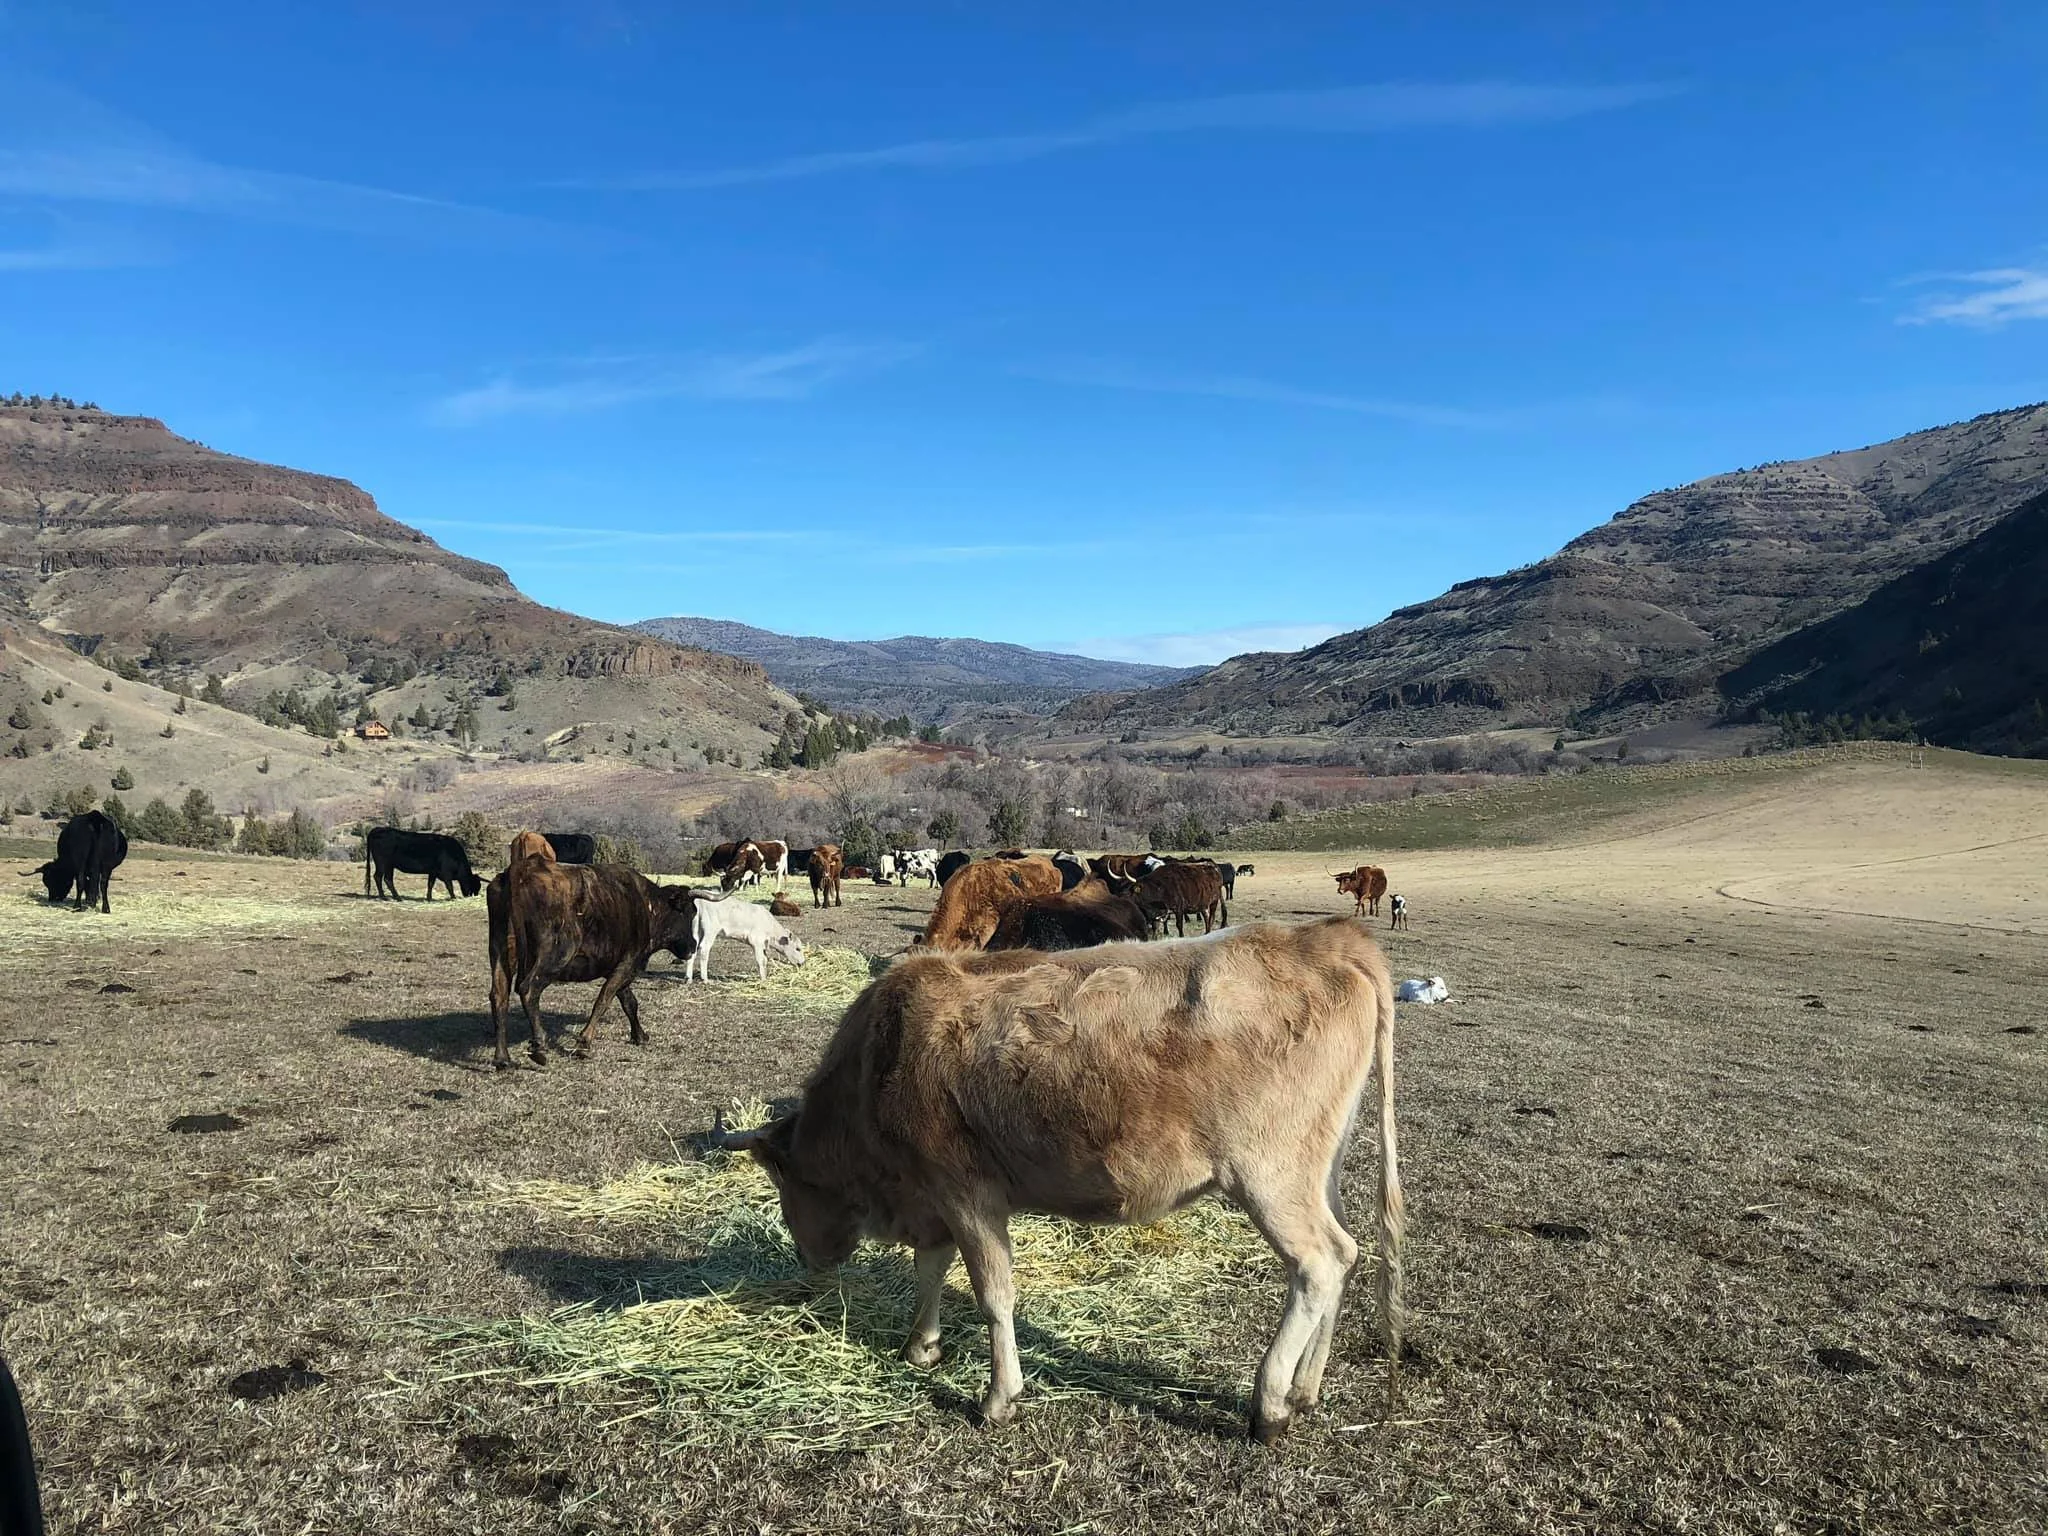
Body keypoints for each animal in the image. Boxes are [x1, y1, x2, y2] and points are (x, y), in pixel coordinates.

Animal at [487, 858, 697, 1069]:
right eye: (690, 913)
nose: (693, 945)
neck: (647, 906)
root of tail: (525, 867)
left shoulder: (615, 966)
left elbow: (629, 1002)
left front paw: (639, 1035)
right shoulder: (628, 963)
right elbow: (604, 999)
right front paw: (584, 1043)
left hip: (501, 949)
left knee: (499, 995)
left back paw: (502, 1058)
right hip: (556, 953)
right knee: (529, 989)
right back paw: (538, 1046)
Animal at [706, 915, 1406, 1443]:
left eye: (784, 1190)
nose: (809, 1261)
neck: (881, 1060)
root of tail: (1323, 938)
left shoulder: (966, 1193)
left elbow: (993, 1295)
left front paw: (998, 1397)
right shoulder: (934, 1200)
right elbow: (930, 1268)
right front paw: (921, 1346)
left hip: (1269, 1176)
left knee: (1318, 1262)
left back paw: (1270, 1404)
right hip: (1320, 1170)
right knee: (1346, 1253)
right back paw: (1306, 1390)